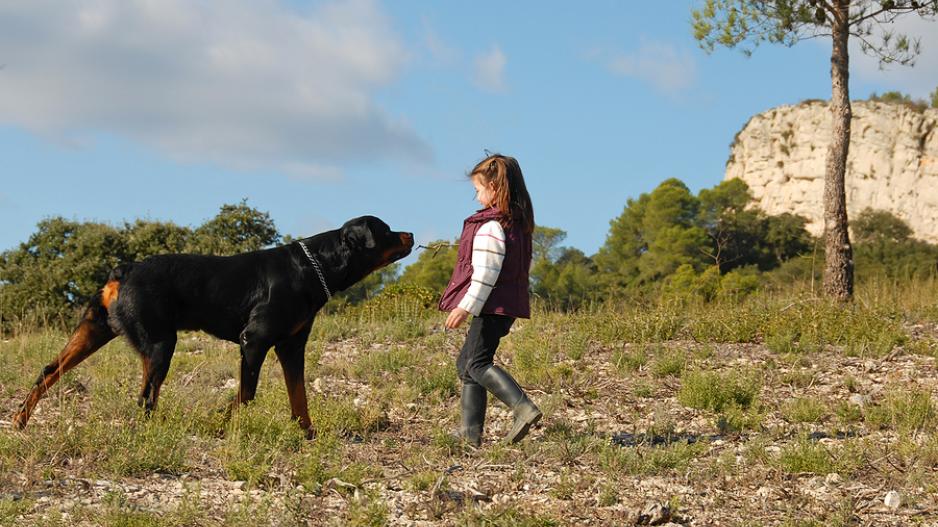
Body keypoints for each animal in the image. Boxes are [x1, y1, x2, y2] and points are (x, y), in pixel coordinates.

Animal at [11, 214, 414, 438]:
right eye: (386, 230)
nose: (409, 234)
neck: (317, 264)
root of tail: (124, 270)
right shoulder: (254, 341)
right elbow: (246, 395)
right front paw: (220, 424)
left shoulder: (291, 346)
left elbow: (298, 396)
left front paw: (307, 433)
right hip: (161, 344)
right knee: (146, 397)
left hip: (95, 332)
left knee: (49, 371)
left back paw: (19, 420)